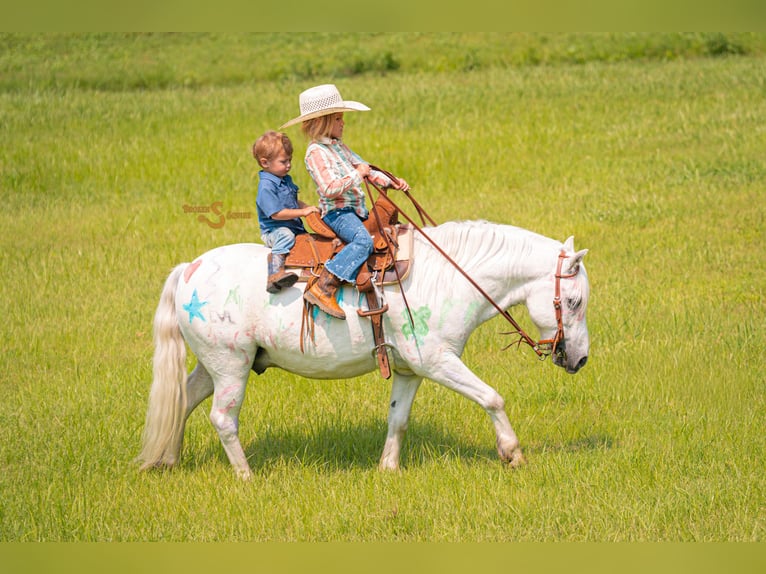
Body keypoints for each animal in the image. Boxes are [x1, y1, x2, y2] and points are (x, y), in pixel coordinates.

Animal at [137, 220, 590, 479]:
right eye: (574, 301)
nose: (580, 359)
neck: (447, 277)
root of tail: (189, 270)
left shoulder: (409, 371)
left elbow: (398, 419)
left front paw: (387, 468)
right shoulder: (438, 361)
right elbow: (493, 398)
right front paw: (512, 453)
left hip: (214, 366)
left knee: (182, 400)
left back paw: (166, 460)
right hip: (231, 366)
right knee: (222, 419)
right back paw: (246, 477)